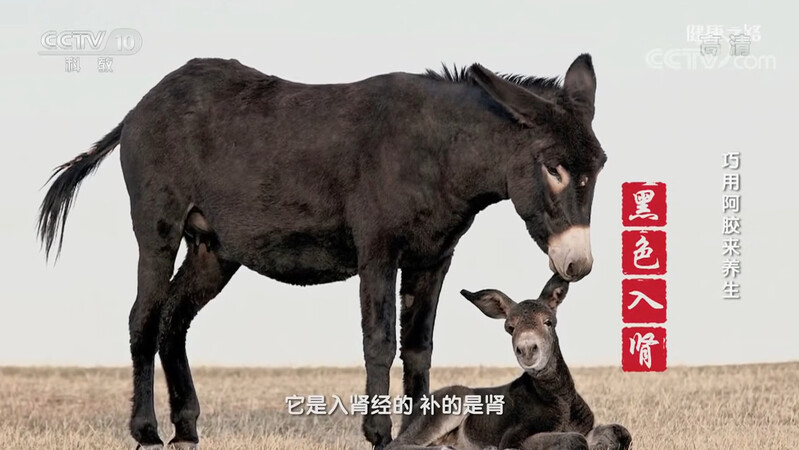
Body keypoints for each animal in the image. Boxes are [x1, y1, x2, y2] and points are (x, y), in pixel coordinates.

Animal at [386, 274, 632, 450]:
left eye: (549, 322)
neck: (559, 398)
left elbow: (621, 432)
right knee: (396, 445)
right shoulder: (514, 437)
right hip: (456, 397)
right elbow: (575, 440)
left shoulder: (588, 427)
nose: (527, 349)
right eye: (510, 328)